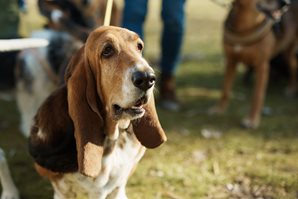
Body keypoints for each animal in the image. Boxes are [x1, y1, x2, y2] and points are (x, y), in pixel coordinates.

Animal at [210, 0, 298, 128]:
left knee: (293, 69)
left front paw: (252, 120)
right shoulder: (231, 61)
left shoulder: (262, 66)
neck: (245, 26)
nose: (286, 3)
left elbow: (257, 96)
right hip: (286, 51)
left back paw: (291, 89)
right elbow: (225, 90)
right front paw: (219, 109)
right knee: (292, 68)